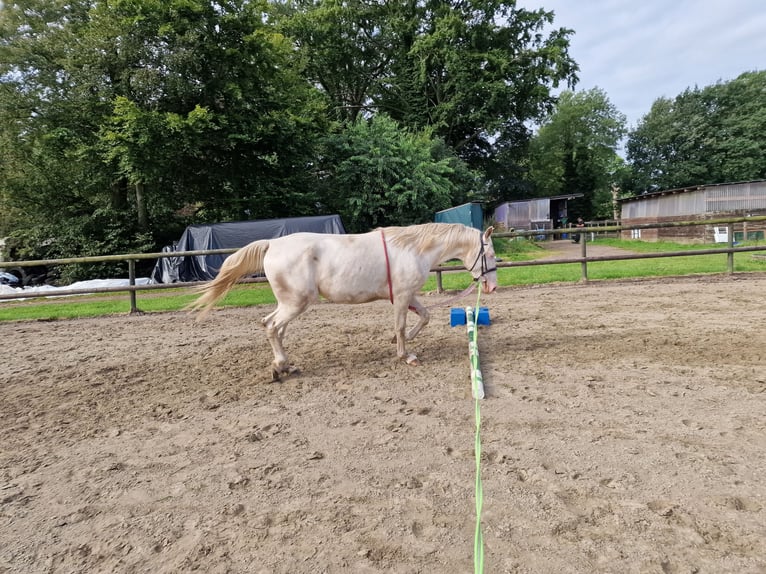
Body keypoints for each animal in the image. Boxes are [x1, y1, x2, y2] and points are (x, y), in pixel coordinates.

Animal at [188, 224, 498, 382]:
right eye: (490, 254)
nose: (492, 286)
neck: (411, 249)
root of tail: (272, 244)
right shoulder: (401, 297)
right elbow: (401, 325)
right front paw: (405, 354)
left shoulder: (407, 296)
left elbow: (423, 317)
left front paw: (405, 342)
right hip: (296, 303)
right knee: (271, 327)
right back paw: (280, 367)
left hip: (289, 303)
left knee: (273, 327)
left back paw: (284, 366)